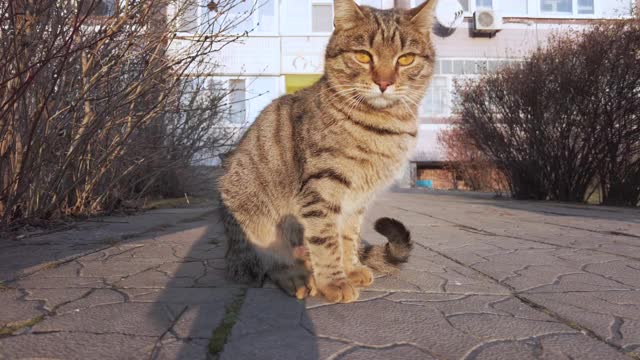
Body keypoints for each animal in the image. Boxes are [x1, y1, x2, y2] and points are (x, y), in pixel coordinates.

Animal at [218, 0, 438, 304]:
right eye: (363, 55)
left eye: (405, 59)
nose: (384, 83)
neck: (382, 127)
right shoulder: (322, 188)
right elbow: (326, 239)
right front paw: (334, 282)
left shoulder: (357, 200)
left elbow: (347, 237)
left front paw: (351, 268)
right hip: (250, 209)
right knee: (268, 260)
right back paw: (296, 276)